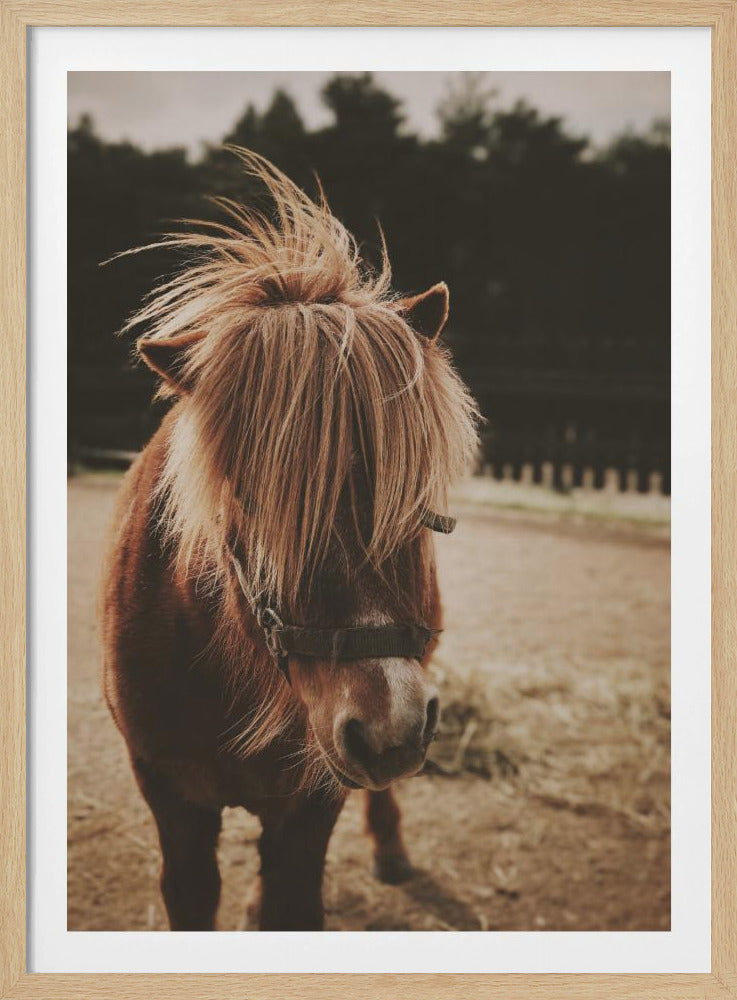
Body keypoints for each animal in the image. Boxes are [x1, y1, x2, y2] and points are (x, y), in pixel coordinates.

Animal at [101, 148, 479, 931]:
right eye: (250, 502)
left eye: (413, 494)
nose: (387, 726)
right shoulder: (172, 802)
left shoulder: (312, 803)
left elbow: (293, 898)